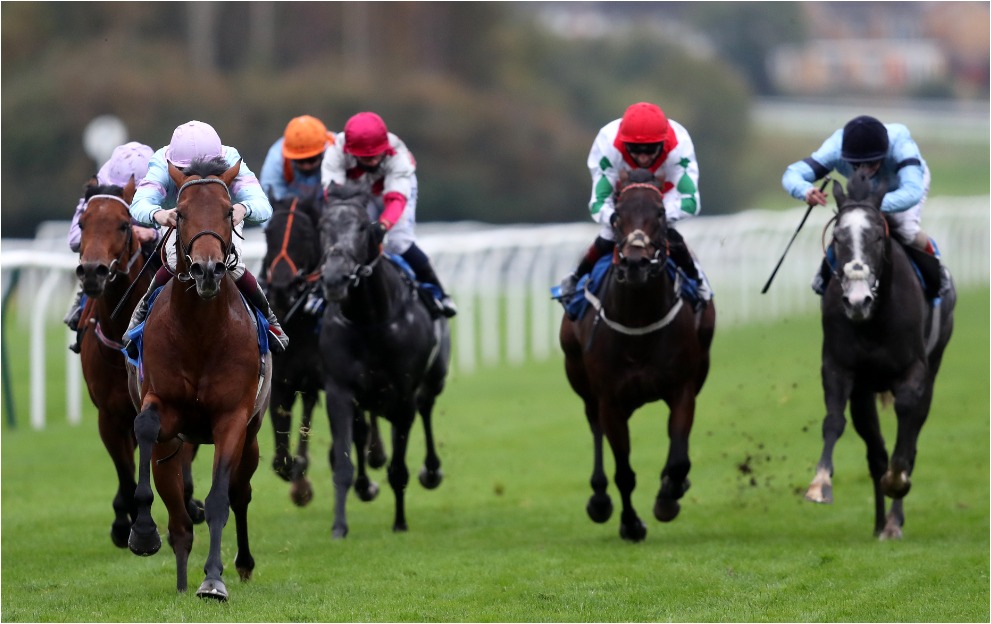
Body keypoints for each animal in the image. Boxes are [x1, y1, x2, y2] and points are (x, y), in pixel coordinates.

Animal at [75, 178, 203, 548]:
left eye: (123, 224)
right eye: (82, 223)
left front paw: (187, 507)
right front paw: (126, 523)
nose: (93, 271)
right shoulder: (109, 416)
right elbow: (125, 472)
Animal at [125, 157, 271, 600]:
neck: (200, 333)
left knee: (240, 493)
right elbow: (145, 426)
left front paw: (214, 579)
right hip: (172, 447)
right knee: (178, 518)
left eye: (227, 212)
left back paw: (241, 564)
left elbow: (221, 497)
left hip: (252, 437)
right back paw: (177, 572)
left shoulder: (232, 419)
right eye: (182, 213)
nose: (207, 271)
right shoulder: (163, 407)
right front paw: (142, 532)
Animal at [317, 183, 451, 538]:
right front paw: (338, 527)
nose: (335, 278)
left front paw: (400, 522)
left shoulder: (403, 397)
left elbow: (399, 468)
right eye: (323, 226)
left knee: (427, 408)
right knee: (362, 432)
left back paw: (431, 471)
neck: (370, 318)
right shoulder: (339, 391)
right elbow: (344, 463)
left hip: (433, 379)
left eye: (364, 227)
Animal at [559, 168, 717, 542]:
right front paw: (631, 524)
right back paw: (599, 499)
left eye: (659, 213)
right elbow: (624, 473)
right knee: (595, 429)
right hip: (583, 384)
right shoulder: (610, 400)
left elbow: (678, 459)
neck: (639, 321)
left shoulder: (682, 388)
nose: (635, 263)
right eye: (617, 215)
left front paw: (668, 496)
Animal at [804, 171, 955, 539]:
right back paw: (878, 523)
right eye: (838, 237)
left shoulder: (914, 373)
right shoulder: (840, 368)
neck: (872, 321)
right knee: (875, 452)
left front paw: (897, 483)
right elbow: (834, 421)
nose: (858, 300)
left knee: (909, 439)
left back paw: (892, 522)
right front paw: (820, 484)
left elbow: (906, 433)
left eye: (875, 235)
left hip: (934, 367)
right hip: (864, 392)